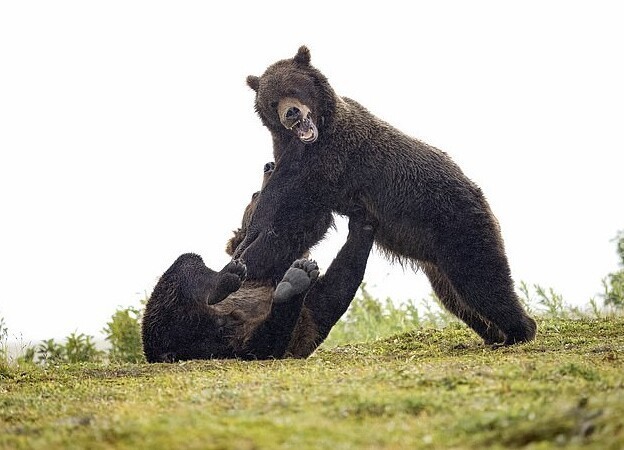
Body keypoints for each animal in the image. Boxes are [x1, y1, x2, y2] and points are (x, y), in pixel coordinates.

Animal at [236, 45, 540, 346]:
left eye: (294, 88)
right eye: (273, 101)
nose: (291, 113)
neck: (310, 139)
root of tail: (477, 190)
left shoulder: (330, 163)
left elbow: (295, 218)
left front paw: (248, 259)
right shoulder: (297, 162)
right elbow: (290, 220)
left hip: (457, 223)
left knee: (482, 280)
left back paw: (518, 332)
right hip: (436, 257)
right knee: (457, 297)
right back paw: (491, 335)